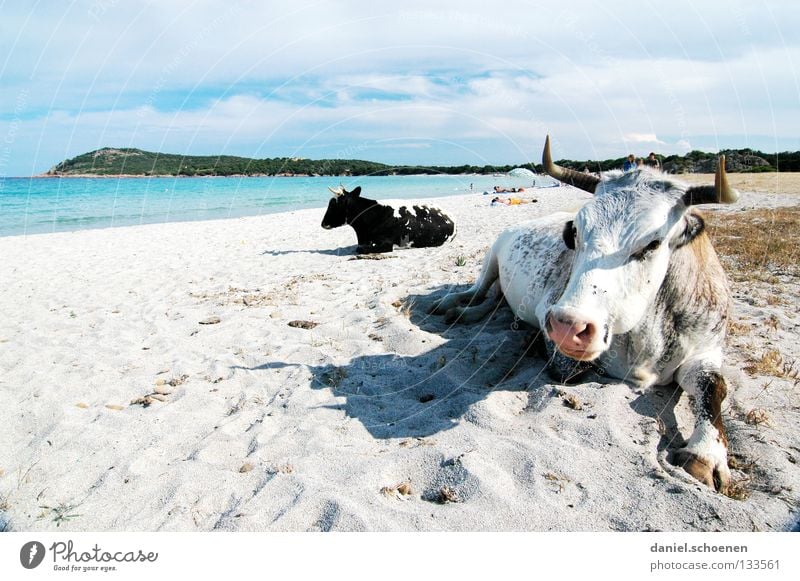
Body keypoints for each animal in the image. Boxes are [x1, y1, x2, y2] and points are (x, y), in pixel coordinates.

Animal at [434, 137, 740, 494]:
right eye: (575, 231)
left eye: (652, 243)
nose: (568, 326)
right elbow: (571, 368)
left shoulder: (707, 348)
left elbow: (715, 385)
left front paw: (706, 453)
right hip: (492, 256)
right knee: (480, 290)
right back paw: (455, 305)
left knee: (494, 301)